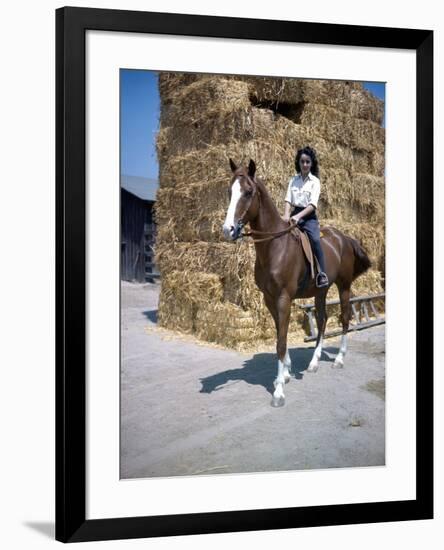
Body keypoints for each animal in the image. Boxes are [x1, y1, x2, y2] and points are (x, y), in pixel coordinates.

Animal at [222, 157, 372, 408]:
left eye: (248, 192)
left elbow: (281, 342)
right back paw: (314, 362)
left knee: (344, 318)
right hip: (321, 291)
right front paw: (285, 374)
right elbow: (279, 334)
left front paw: (279, 392)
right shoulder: (270, 298)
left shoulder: (284, 297)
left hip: (344, 286)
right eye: (230, 191)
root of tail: (344, 237)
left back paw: (339, 359)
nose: (228, 230)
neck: (275, 247)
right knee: (322, 320)